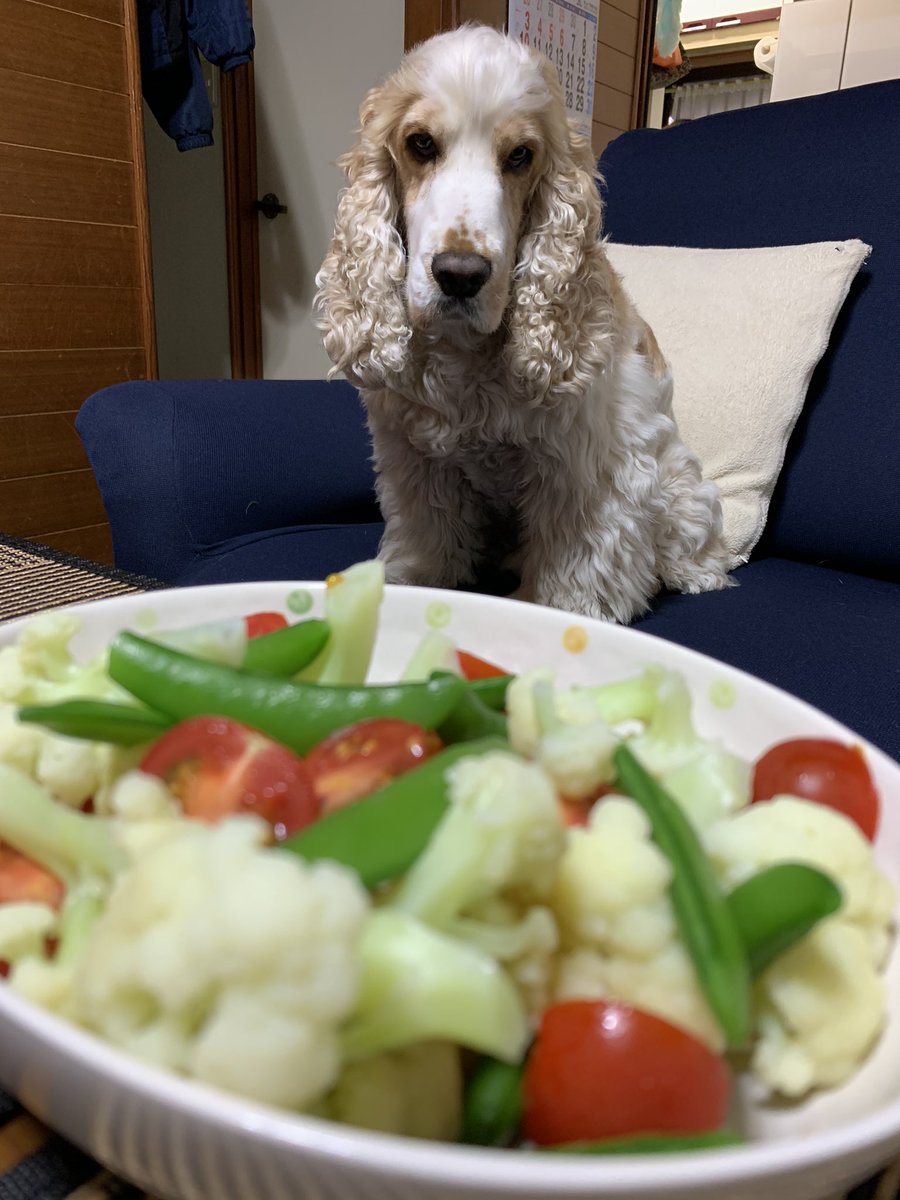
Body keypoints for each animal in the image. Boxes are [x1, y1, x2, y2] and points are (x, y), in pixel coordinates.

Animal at [314, 23, 734, 624]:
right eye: (421, 143)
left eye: (519, 155)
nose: (460, 275)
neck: (467, 356)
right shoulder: (415, 461)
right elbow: (429, 541)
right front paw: (414, 585)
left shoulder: (584, 467)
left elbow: (577, 573)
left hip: (678, 480)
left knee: (693, 534)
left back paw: (696, 573)